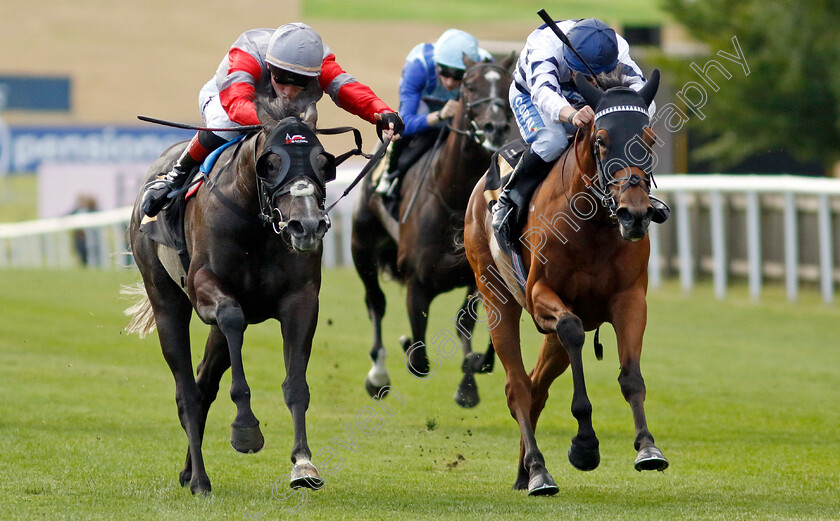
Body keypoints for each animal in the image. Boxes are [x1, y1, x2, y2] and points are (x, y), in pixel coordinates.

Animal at [124, 99, 334, 494]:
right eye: (271, 163)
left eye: (322, 162)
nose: (308, 224)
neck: (256, 225)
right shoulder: (205, 287)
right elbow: (232, 320)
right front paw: (245, 429)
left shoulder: (301, 300)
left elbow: (296, 384)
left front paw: (303, 463)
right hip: (166, 300)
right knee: (187, 392)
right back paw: (200, 479)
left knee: (204, 383)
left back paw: (189, 471)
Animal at [350, 55, 520, 406]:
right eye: (469, 86)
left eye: (506, 84)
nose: (495, 127)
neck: (453, 196)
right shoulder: (417, 281)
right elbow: (419, 359)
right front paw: (406, 346)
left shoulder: (477, 275)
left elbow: (465, 324)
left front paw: (468, 383)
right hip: (362, 247)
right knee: (375, 302)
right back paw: (378, 375)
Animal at [462, 70, 668, 496]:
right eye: (601, 139)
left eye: (649, 139)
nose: (635, 213)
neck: (593, 226)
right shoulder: (541, 296)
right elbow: (572, 330)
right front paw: (585, 445)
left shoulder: (629, 299)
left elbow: (631, 375)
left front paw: (647, 447)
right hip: (495, 296)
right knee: (518, 387)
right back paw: (539, 472)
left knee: (537, 387)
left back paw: (525, 471)